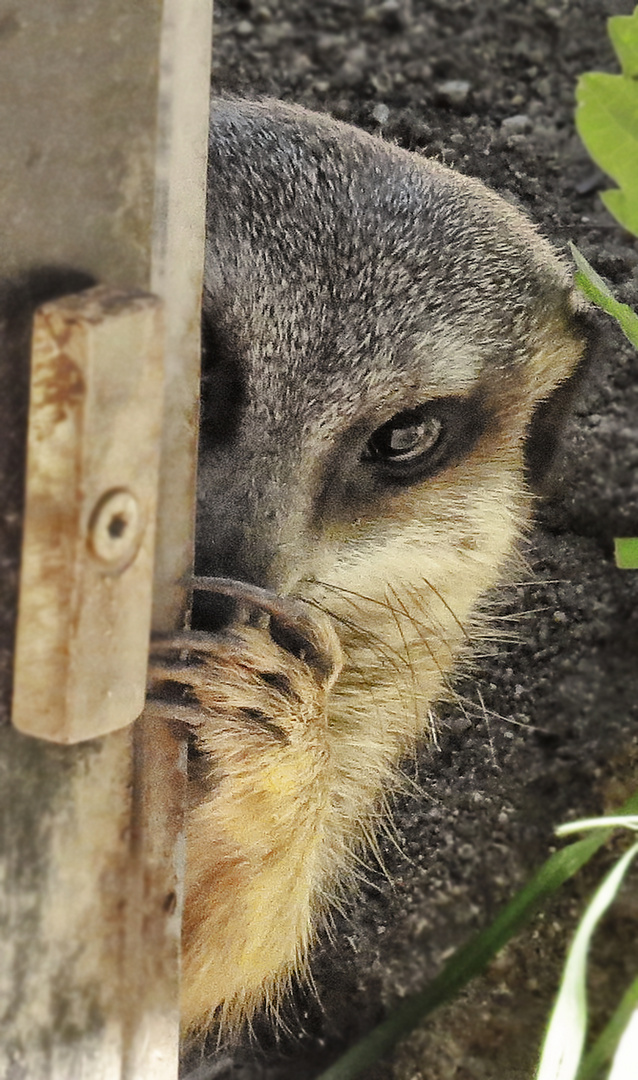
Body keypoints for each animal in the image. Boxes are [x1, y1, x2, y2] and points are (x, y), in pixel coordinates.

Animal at [146, 97, 591, 1032]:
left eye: (405, 436)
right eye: (201, 354)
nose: (217, 609)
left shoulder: (402, 666)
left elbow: (216, 964)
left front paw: (271, 723)